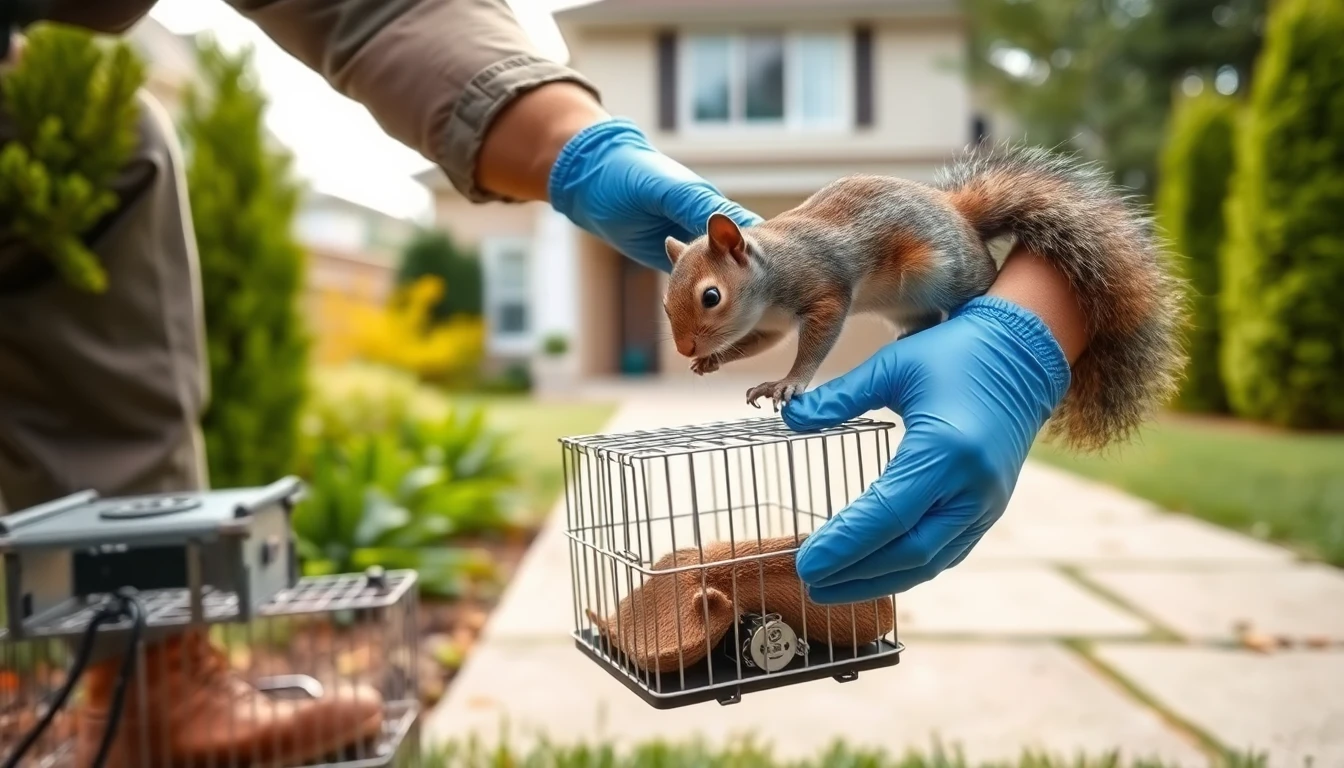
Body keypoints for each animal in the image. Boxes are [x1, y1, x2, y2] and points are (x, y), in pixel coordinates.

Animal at [661, 141, 1185, 444]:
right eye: (666, 303)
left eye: (711, 296)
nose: (685, 347)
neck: (767, 277)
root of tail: (959, 214)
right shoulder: (768, 326)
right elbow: (755, 345)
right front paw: (714, 362)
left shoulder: (821, 286)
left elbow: (817, 339)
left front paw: (789, 382)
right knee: (926, 320)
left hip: (939, 269)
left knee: (974, 288)